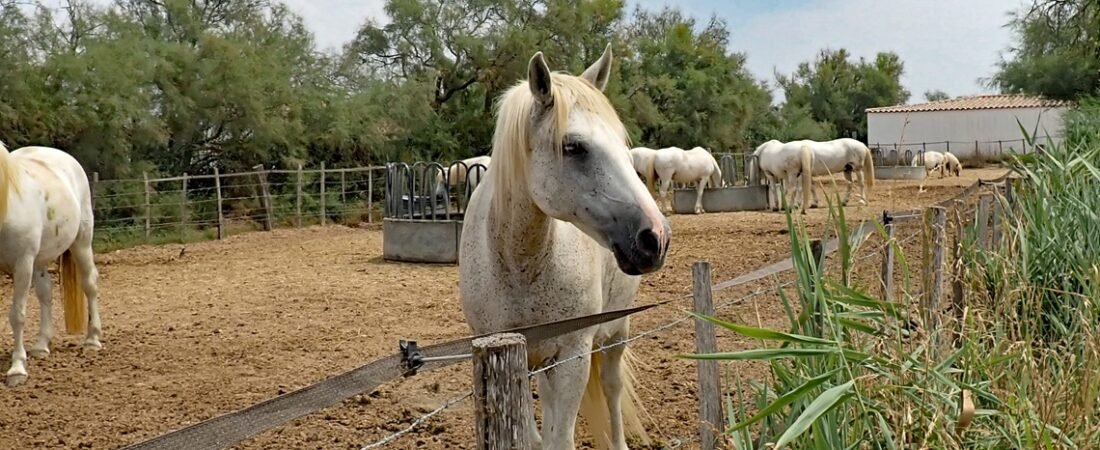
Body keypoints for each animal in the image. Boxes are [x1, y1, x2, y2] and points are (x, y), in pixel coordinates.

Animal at [0, 142, 102, 387]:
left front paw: (17, 369)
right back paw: (41, 346)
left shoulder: (22, 264)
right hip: (39, 262)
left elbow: (17, 315)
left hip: (81, 242)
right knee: (46, 293)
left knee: (90, 285)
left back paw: (92, 340)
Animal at [458, 44, 669, 450]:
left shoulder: (574, 353)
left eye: (624, 147)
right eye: (573, 146)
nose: (656, 237)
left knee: (612, 387)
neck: (519, 263)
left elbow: (562, 437)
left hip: (616, 332)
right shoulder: (515, 356)